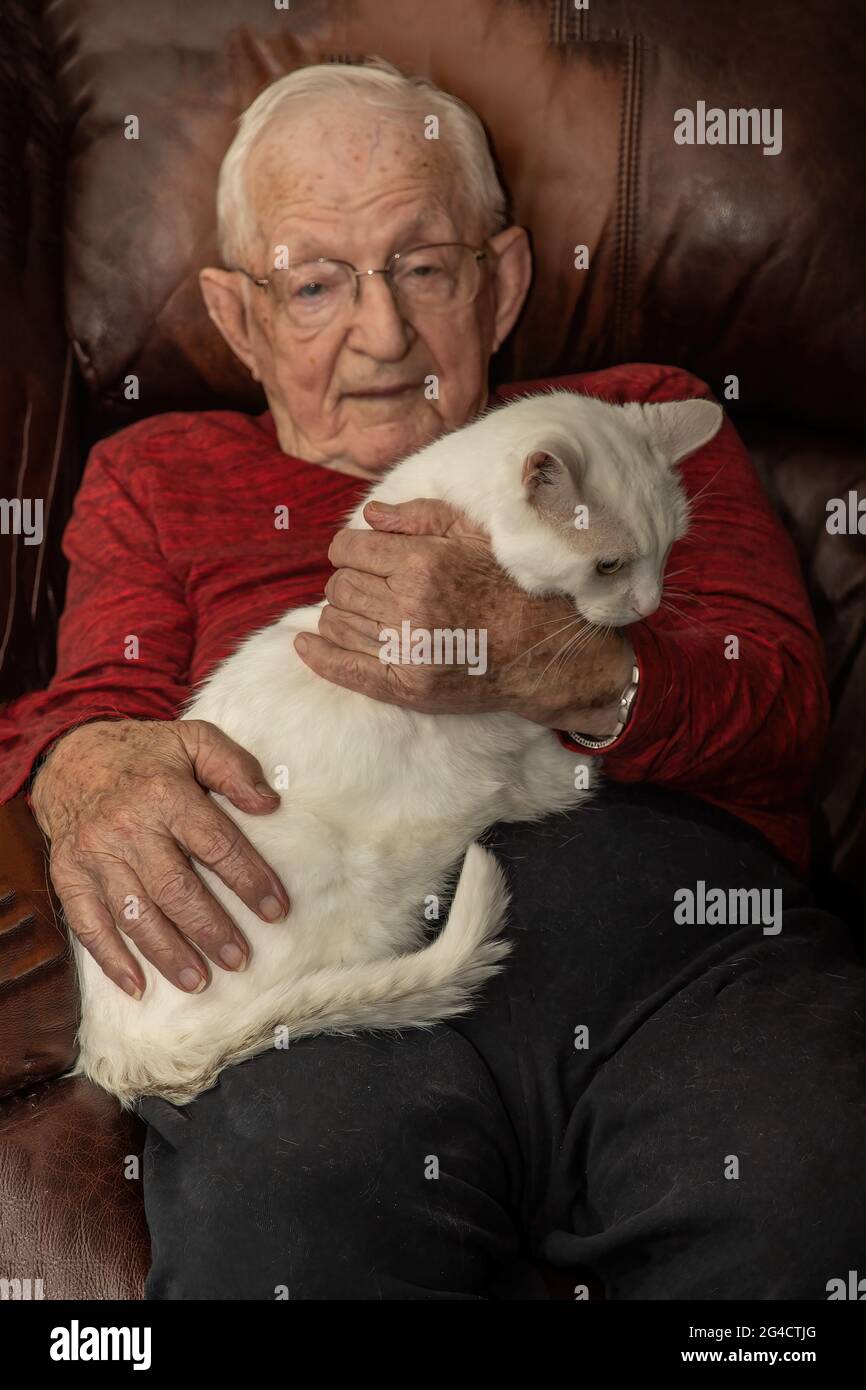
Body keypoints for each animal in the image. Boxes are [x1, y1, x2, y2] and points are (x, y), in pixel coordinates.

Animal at [71, 386, 722, 1100]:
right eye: (609, 564)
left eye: (670, 549)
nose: (649, 606)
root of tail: (124, 1053)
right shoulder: (519, 759)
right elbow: (554, 775)